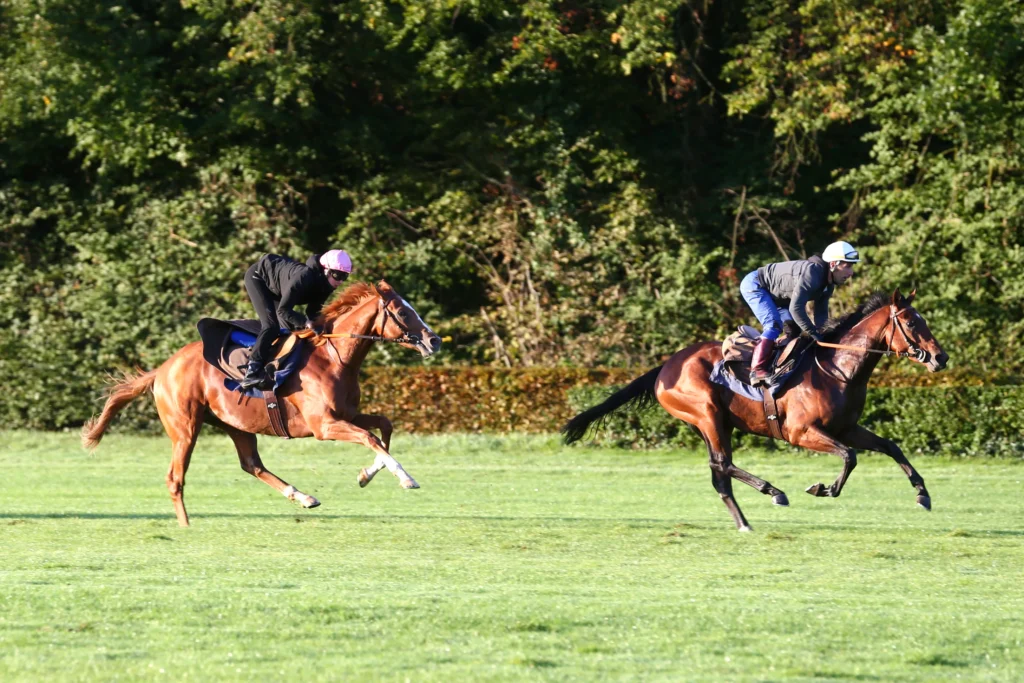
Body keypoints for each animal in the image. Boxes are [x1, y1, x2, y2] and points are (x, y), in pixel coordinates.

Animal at [81, 280, 442, 528]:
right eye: (402, 312)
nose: (434, 340)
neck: (333, 358)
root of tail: (162, 369)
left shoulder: (347, 414)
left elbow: (383, 428)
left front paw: (366, 475)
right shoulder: (324, 425)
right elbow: (371, 437)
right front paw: (406, 479)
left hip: (236, 425)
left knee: (251, 464)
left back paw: (303, 497)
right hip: (185, 428)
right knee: (176, 477)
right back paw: (185, 524)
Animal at [565, 290, 946, 532]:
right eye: (912, 323)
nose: (940, 357)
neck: (837, 368)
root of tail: (664, 367)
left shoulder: (846, 428)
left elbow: (890, 447)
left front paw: (923, 494)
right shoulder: (801, 432)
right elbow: (849, 456)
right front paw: (823, 489)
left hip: (714, 424)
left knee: (718, 473)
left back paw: (744, 522)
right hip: (707, 414)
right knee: (722, 464)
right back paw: (773, 492)